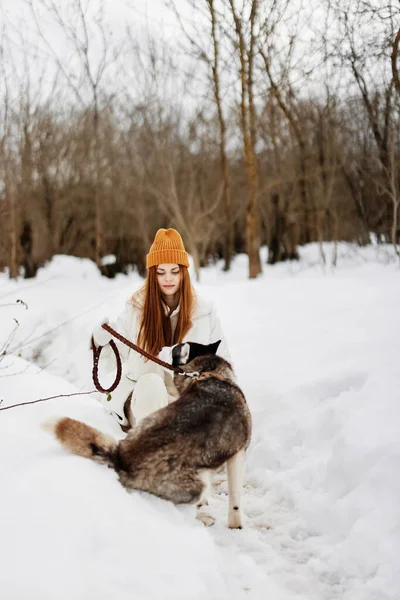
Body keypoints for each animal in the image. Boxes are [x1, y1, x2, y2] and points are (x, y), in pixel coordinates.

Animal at [43, 340, 250, 528]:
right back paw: (202, 518)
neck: (210, 375)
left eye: (175, 347)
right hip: (195, 485)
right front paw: (236, 525)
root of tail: (122, 457)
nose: (162, 347)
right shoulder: (238, 454)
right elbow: (235, 500)